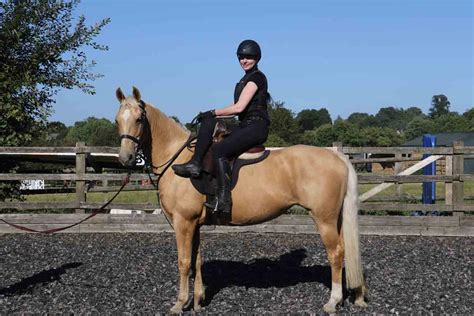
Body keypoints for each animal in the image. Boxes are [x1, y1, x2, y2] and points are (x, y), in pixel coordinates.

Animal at [114, 87, 366, 314]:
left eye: (139, 119)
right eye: (117, 120)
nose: (126, 158)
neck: (178, 158)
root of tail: (336, 155)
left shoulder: (183, 222)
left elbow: (184, 262)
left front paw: (179, 303)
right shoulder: (194, 223)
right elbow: (196, 260)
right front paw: (197, 301)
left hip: (324, 218)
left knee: (336, 253)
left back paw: (332, 302)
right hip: (335, 219)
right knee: (344, 251)